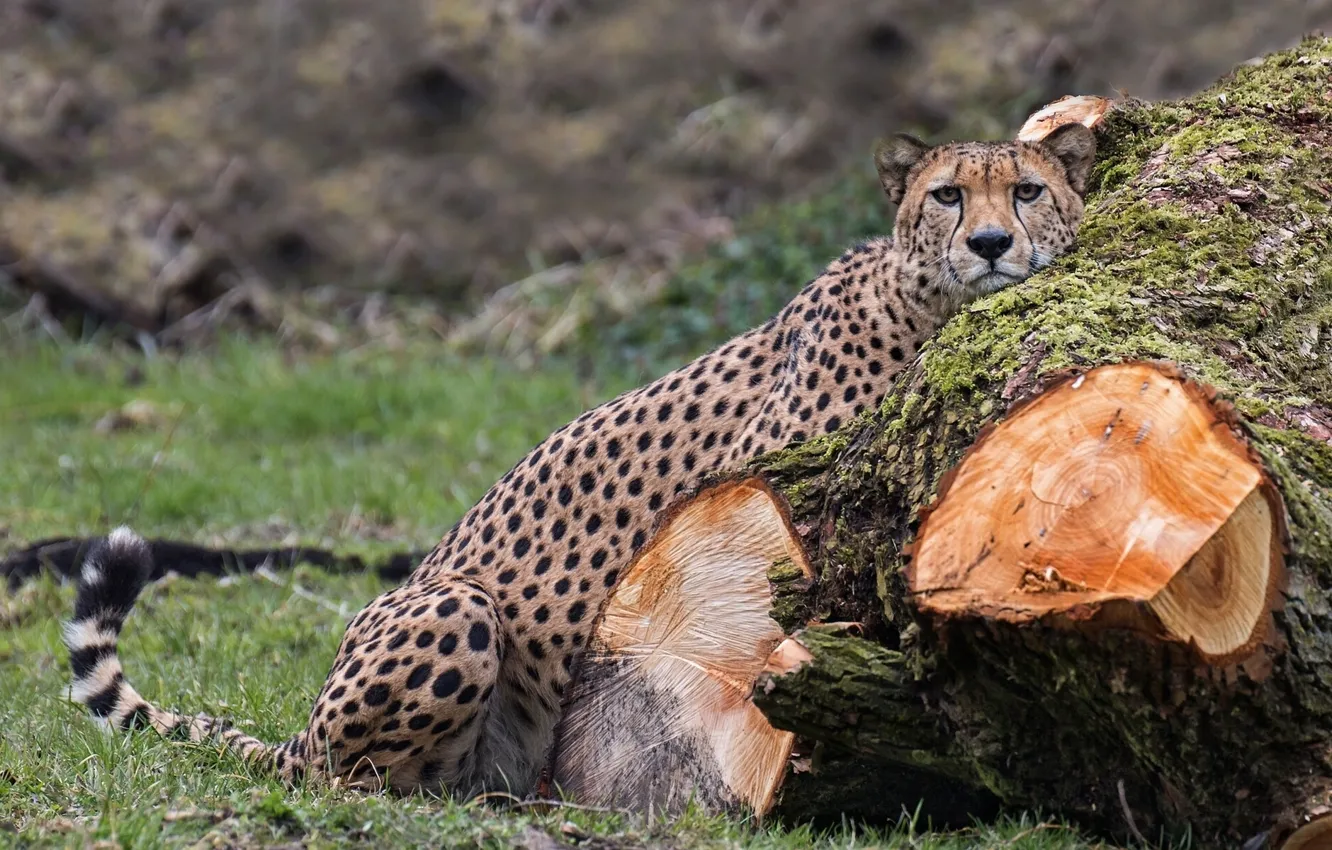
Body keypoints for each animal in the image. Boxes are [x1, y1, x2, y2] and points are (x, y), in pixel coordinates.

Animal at [64, 122, 1096, 800]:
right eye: (949, 194)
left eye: (1028, 190)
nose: (991, 244)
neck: (922, 304)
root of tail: (303, 731)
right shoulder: (766, 479)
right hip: (453, 608)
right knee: (350, 780)